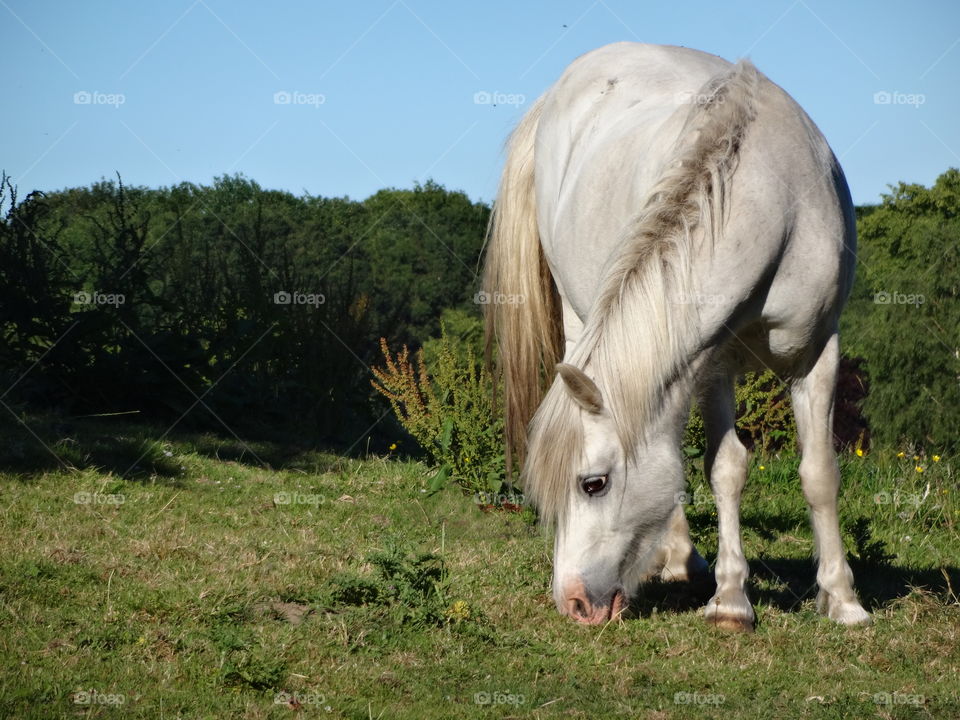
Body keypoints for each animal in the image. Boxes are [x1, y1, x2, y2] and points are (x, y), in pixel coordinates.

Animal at [484, 43, 868, 632]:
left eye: (593, 483)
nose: (572, 603)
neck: (772, 201)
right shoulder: (714, 360)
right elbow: (726, 469)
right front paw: (731, 600)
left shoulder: (817, 352)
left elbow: (820, 473)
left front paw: (843, 600)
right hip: (586, 317)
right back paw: (681, 558)